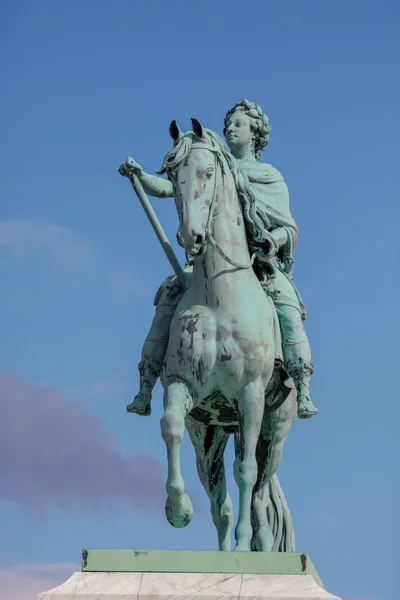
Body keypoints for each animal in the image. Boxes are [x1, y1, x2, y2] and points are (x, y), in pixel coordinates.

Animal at [158, 118, 296, 552]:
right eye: (173, 174)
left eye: (208, 172)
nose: (191, 238)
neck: (218, 298)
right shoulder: (182, 386)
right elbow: (169, 426)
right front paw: (178, 509)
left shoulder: (250, 397)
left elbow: (247, 473)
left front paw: (245, 543)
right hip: (212, 433)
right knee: (220, 499)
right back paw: (222, 548)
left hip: (275, 428)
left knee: (261, 487)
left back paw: (259, 546)